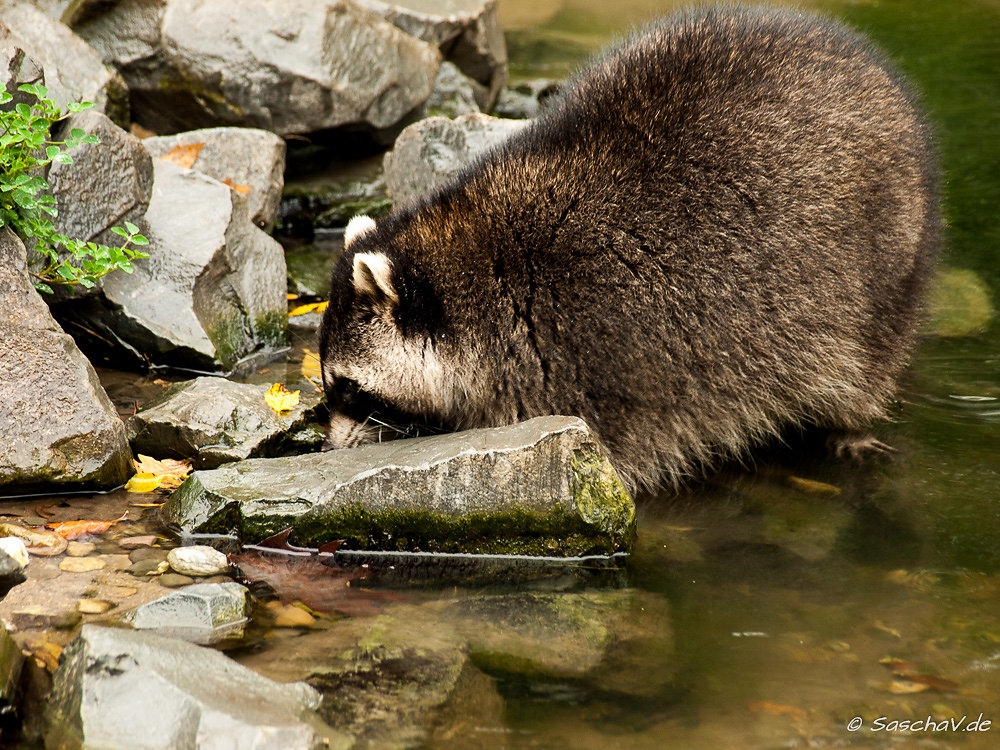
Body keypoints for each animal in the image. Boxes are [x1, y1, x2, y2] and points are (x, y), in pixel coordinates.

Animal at [318, 8, 936, 496]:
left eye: (347, 386)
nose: (329, 450)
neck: (472, 268)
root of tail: (875, 72)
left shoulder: (597, 361)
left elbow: (614, 453)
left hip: (884, 267)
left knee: (866, 359)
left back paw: (853, 423)